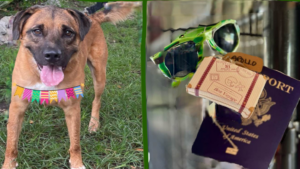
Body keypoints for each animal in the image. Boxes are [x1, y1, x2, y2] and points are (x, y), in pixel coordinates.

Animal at [2, 2, 138, 169]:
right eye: (37, 31)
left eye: (68, 32)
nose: (52, 55)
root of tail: (92, 17)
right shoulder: (17, 107)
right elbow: (11, 144)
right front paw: (9, 164)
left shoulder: (72, 110)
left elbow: (75, 143)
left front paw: (77, 163)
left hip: (99, 75)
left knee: (97, 100)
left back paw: (94, 123)